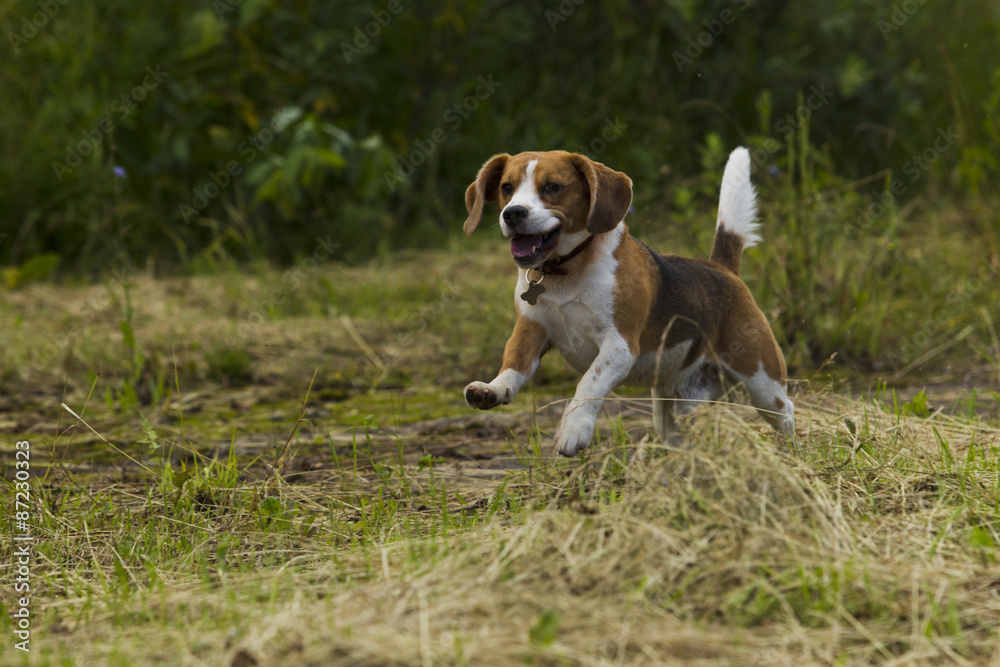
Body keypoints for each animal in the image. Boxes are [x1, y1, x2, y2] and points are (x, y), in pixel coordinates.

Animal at [462, 149, 796, 456]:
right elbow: (513, 362)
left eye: (553, 187)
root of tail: (721, 268)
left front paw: (573, 430)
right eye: (507, 187)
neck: (564, 272)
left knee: (786, 411)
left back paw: (791, 453)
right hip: (675, 402)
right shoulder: (530, 330)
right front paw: (492, 389)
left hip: (762, 380)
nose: (513, 213)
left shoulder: (619, 345)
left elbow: (589, 383)